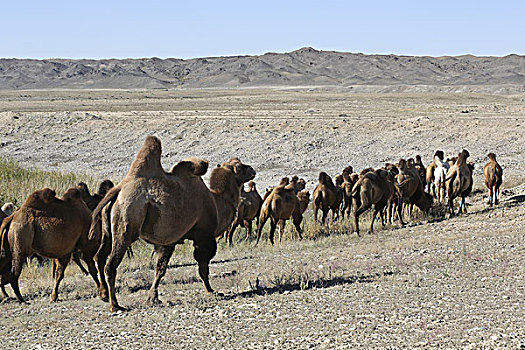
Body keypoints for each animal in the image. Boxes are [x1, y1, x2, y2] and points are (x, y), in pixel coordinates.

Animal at [89, 137, 254, 312]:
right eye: (239, 166)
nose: (252, 170)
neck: (217, 201)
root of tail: (118, 190)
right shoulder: (204, 235)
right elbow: (203, 265)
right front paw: (211, 291)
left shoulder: (168, 240)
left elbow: (160, 268)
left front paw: (153, 298)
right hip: (127, 222)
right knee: (111, 264)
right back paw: (115, 305)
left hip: (108, 230)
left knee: (99, 256)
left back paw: (104, 295)